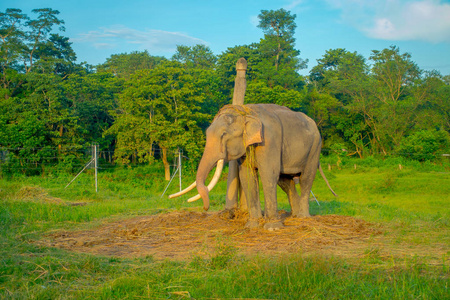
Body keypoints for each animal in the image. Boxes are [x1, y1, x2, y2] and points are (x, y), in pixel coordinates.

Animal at [171, 103, 336, 230]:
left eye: (224, 134)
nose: (206, 208)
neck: (247, 113)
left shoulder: (269, 141)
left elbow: (268, 174)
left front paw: (272, 228)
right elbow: (247, 177)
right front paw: (252, 225)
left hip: (315, 148)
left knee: (306, 178)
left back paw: (303, 217)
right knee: (285, 181)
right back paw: (294, 215)